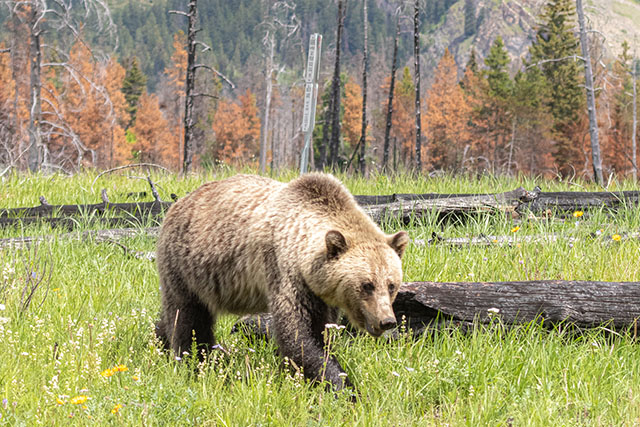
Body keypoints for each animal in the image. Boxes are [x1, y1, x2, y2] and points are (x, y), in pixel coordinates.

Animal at [158, 173, 412, 392]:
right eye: (367, 285)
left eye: (391, 285)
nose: (386, 320)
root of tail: (177, 204)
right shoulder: (286, 271)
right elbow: (300, 334)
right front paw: (343, 388)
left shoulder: (320, 295)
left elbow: (322, 330)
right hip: (186, 265)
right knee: (188, 317)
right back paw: (195, 360)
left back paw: (161, 340)